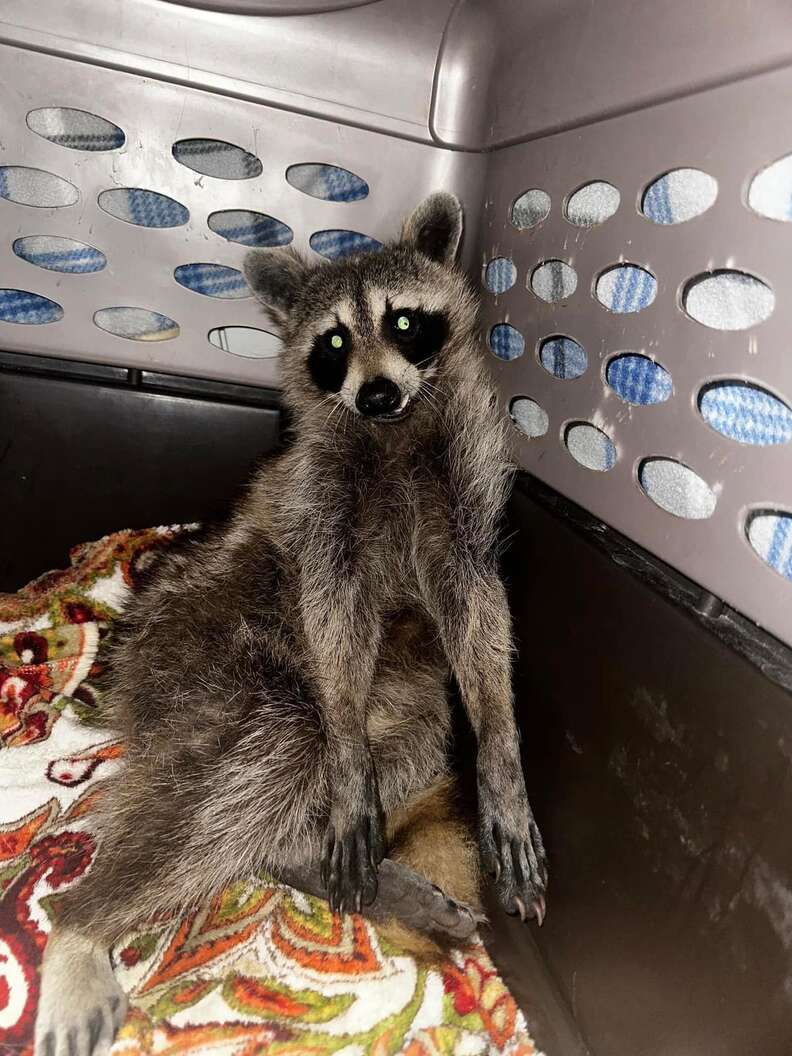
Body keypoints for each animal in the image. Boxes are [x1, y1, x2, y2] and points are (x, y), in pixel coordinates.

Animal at [34, 192, 549, 1056]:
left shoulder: (465, 499)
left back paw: (302, 850)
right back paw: (81, 927)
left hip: (391, 700)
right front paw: (347, 755)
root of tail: (126, 674)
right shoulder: (319, 509)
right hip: (208, 655)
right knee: (256, 765)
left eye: (403, 322)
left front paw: (500, 756)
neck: (390, 428)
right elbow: (331, 609)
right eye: (334, 343)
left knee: (410, 742)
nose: (373, 393)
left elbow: (479, 619)